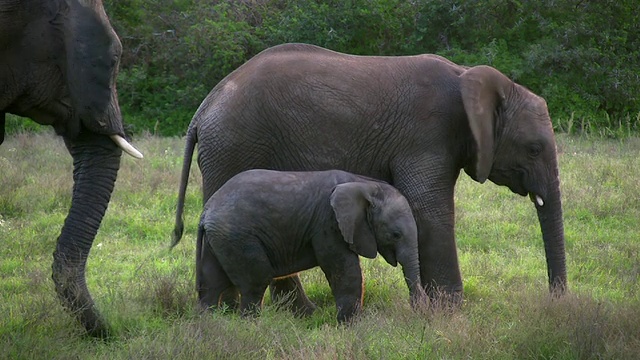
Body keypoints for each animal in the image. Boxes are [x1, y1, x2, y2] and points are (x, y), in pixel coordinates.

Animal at [175, 169, 422, 324]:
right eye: (395, 234)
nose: (419, 313)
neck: (366, 184)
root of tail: (206, 211)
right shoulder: (327, 223)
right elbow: (344, 271)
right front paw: (352, 328)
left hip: (218, 239)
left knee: (212, 283)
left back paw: (209, 324)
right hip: (237, 237)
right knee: (255, 282)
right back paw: (250, 327)